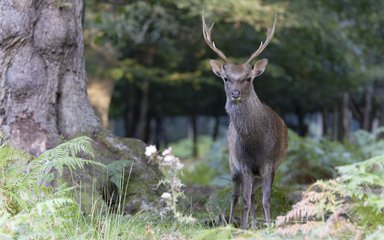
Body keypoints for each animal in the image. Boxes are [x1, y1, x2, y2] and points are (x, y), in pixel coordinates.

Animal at [201, 13, 288, 229]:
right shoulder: (244, 164)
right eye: (226, 78)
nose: (235, 94)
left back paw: (255, 224)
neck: (256, 143)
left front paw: (266, 226)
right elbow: (245, 200)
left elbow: (265, 199)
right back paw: (232, 223)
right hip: (232, 164)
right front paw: (244, 228)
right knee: (235, 194)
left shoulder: (270, 164)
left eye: (248, 78)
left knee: (254, 195)